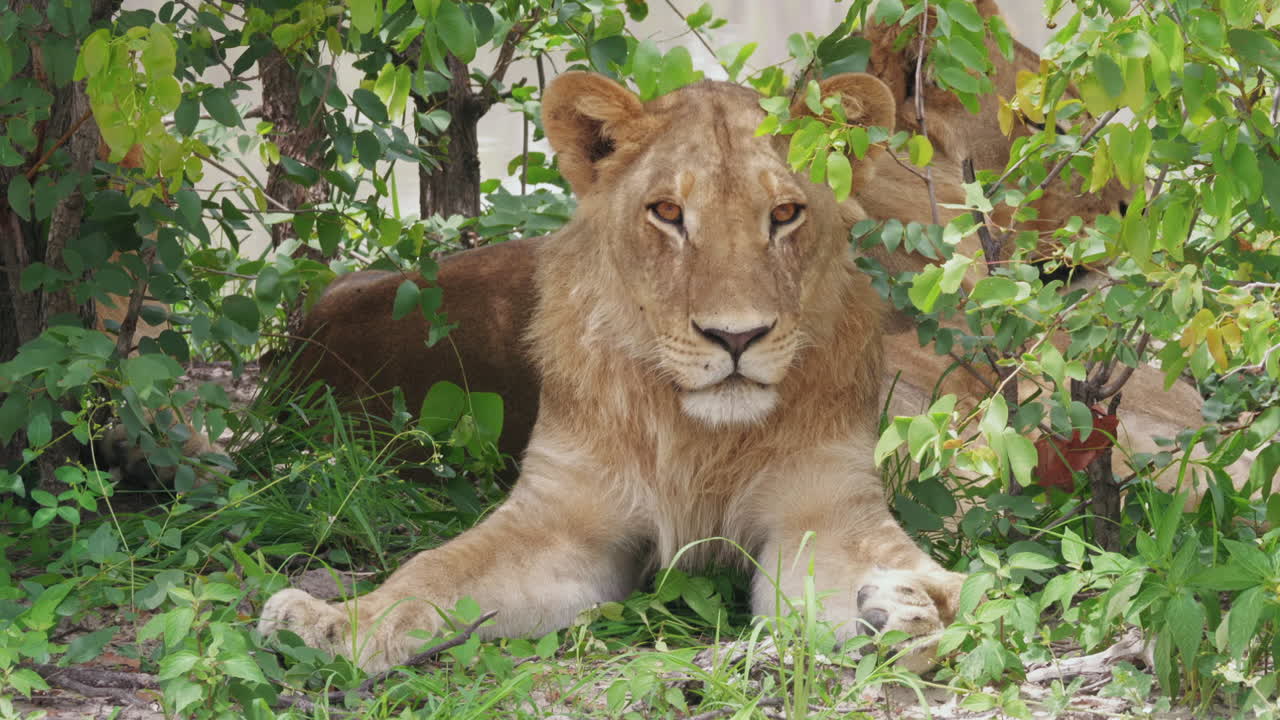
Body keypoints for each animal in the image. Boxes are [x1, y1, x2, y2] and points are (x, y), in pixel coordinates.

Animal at [259, 72, 967, 673]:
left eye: (786, 214)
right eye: (668, 213)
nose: (735, 336)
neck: (700, 435)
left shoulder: (824, 505)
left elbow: (877, 571)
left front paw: (910, 610)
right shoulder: (561, 514)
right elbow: (434, 570)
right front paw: (329, 623)